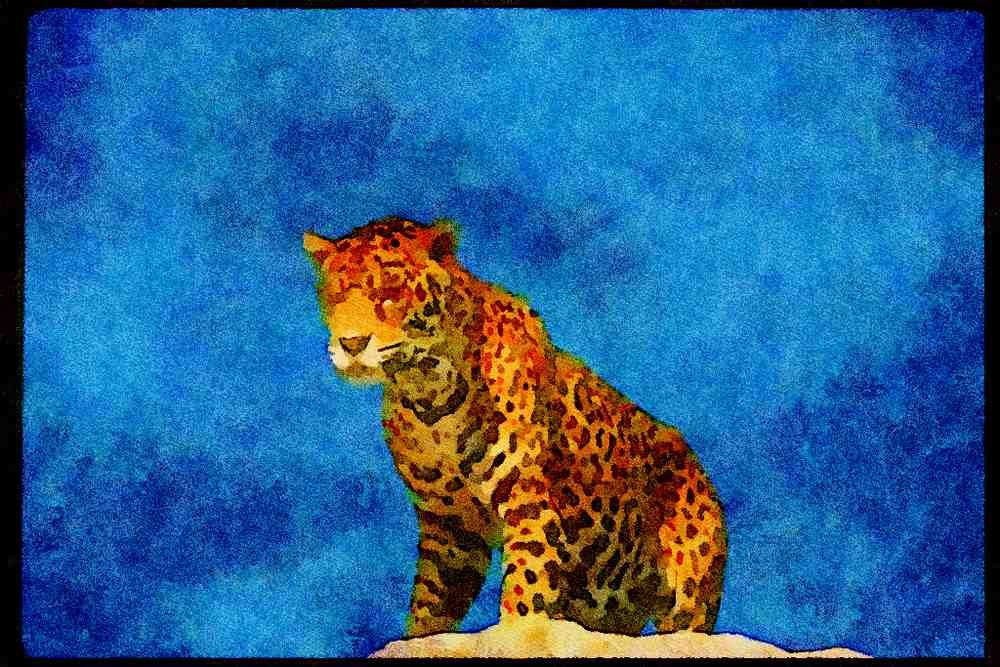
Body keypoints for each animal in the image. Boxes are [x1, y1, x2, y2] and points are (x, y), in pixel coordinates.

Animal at [304, 216, 727, 639]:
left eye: (391, 294)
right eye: (336, 295)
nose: (352, 343)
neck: (428, 392)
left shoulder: (528, 499)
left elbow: (525, 586)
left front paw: (515, 630)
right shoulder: (448, 527)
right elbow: (430, 604)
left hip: (690, 593)